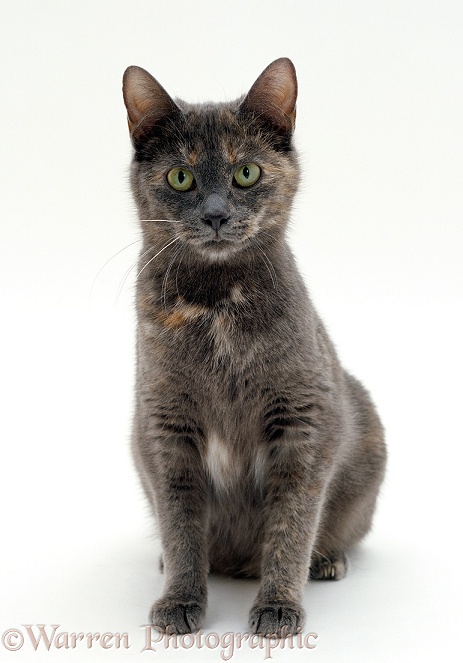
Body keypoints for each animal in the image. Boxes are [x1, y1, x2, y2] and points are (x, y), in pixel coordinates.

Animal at [121, 55, 386, 640]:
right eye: (180, 177)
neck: (219, 305)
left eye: (246, 173)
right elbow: (180, 522)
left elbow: (291, 523)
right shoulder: (165, 426)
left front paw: (280, 606)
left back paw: (326, 561)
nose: (217, 214)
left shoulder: (304, 419)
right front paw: (180, 599)